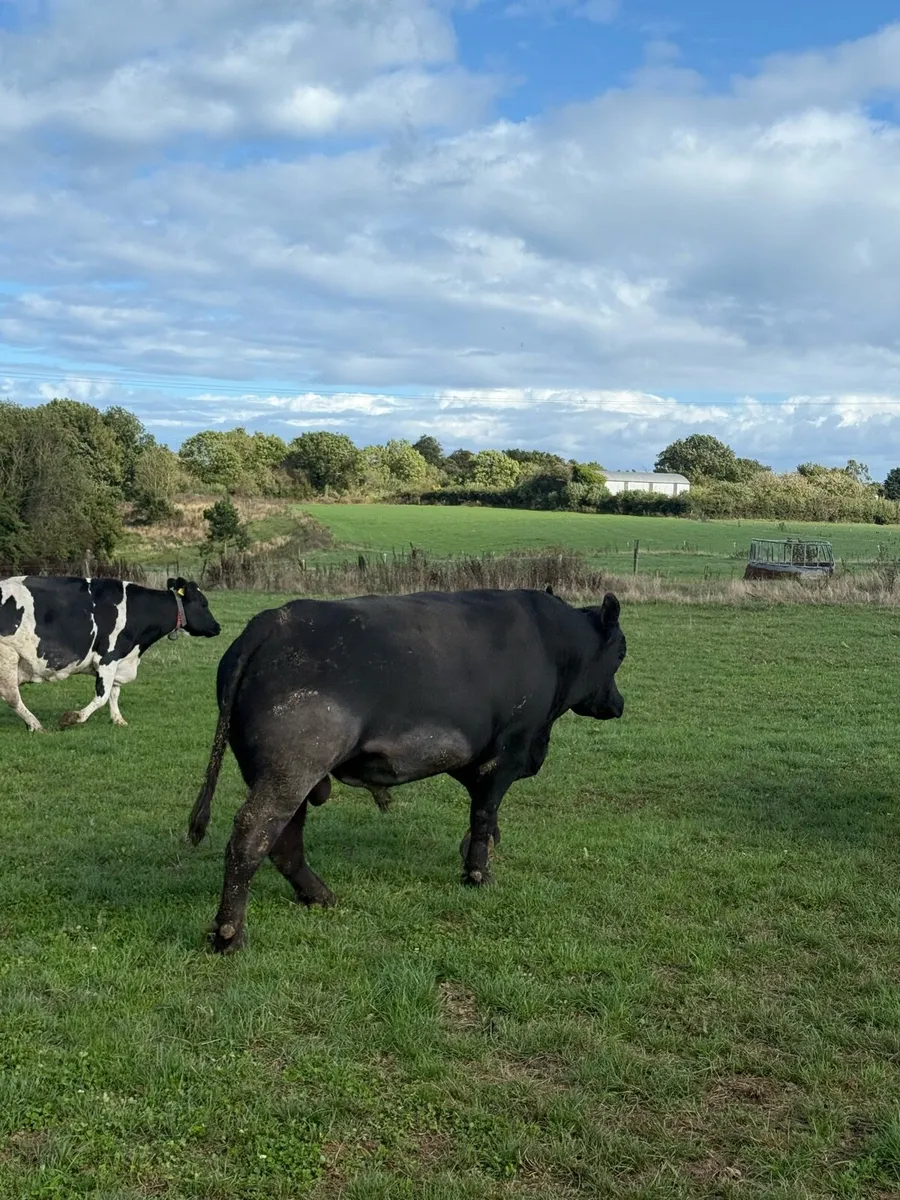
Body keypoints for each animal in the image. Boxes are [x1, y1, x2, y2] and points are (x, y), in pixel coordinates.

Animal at [0, 575, 221, 732]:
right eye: (204, 604)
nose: (217, 627)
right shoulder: (108, 657)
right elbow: (102, 696)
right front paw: (73, 718)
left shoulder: (120, 661)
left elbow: (114, 692)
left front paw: (118, 719)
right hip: (7, 656)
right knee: (12, 697)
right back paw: (35, 724)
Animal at [188, 586, 626, 954]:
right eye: (621, 653)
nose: (618, 704)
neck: (551, 646)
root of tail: (273, 620)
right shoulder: (506, 753)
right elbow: (485, 814)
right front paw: (478, 874)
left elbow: (483, 819)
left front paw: (476, 852)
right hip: (291, 770)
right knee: (251, 836)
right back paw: (230, 935)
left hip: (283, 775)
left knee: (283, 841)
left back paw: (320, 897)